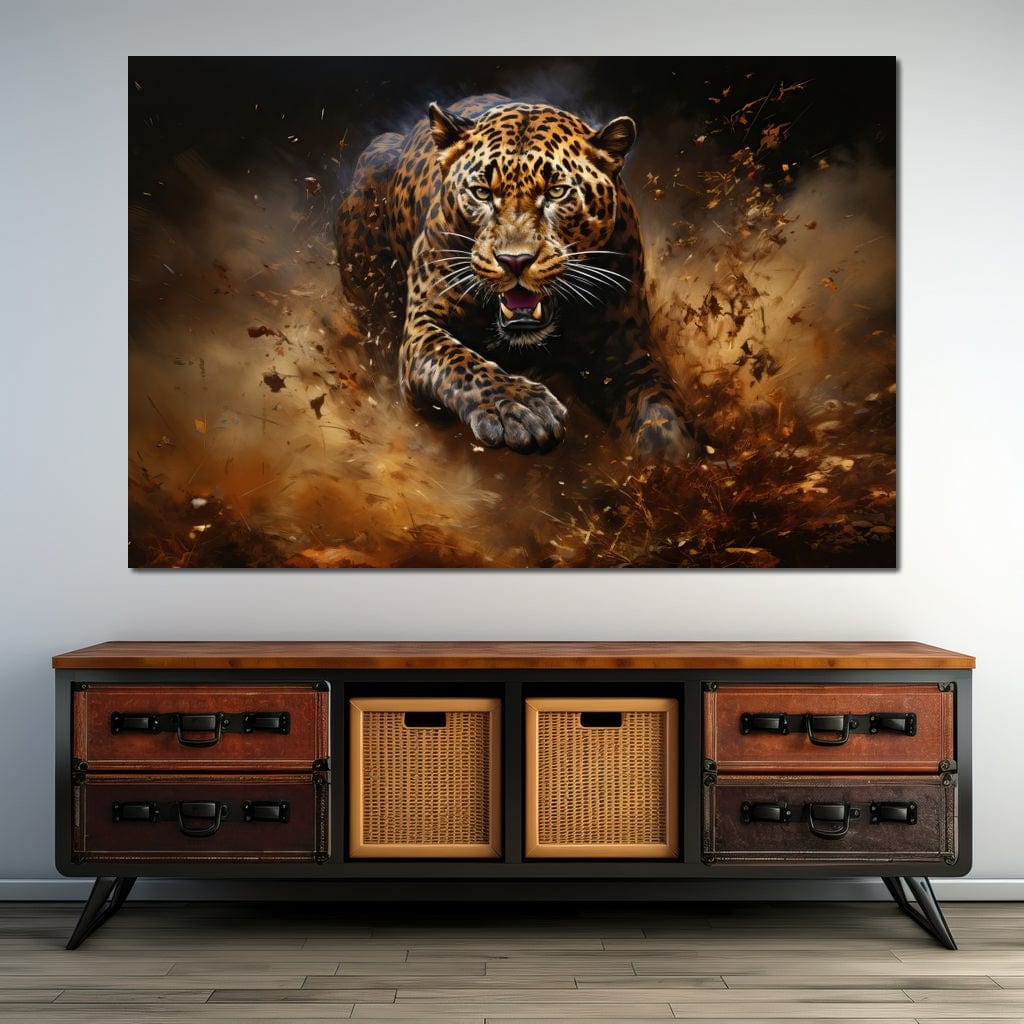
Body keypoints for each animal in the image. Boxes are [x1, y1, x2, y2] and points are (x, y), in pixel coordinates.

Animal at [335, 93, 696, 460]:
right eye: (482, 192)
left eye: (556, 192)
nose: (515, 261)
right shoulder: (423, 326)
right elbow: (460, 362)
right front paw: (523, 409)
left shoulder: (625, 346)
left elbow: (659, 407)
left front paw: (673, 459)